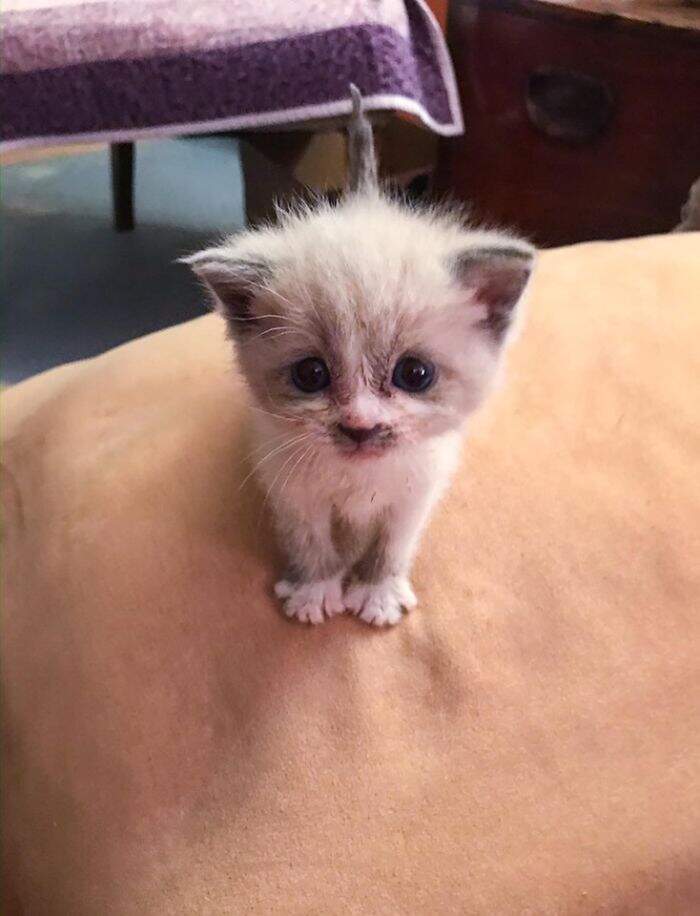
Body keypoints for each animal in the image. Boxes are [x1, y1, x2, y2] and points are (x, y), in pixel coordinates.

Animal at [186, 86, 536, 628]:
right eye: (311, 374)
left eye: (414, 374)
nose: (359, 426)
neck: (358, 478)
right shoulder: (290, 488)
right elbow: (310, 543)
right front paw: (315, 591)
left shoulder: (416, 492)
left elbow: (391, 546)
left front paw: (377, 593)